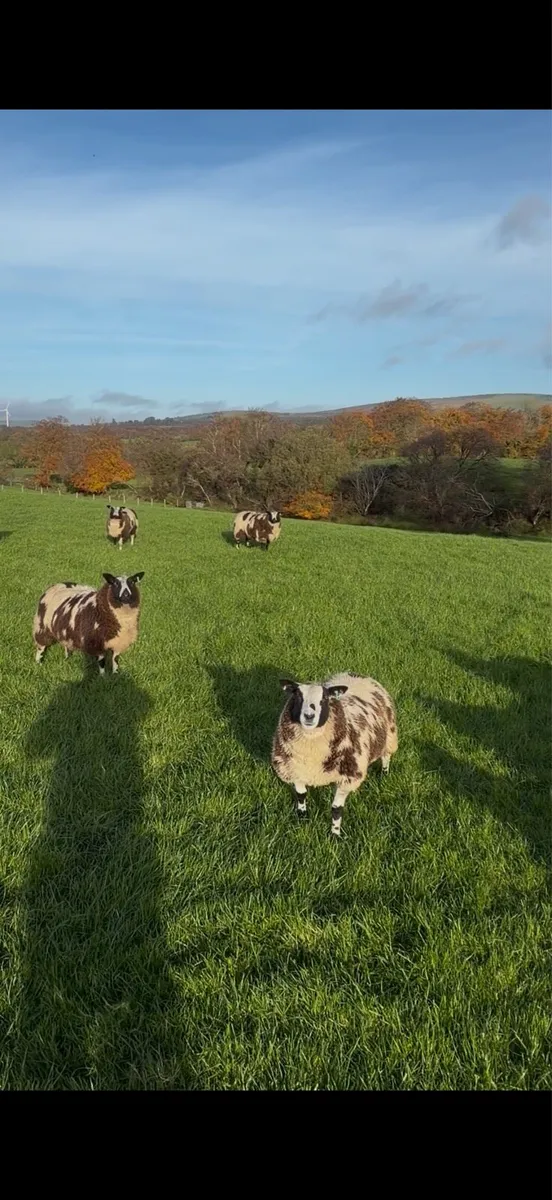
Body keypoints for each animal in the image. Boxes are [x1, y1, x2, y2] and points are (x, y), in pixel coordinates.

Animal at [271, 672, 398, 837]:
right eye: (297, 696)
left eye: (324, 698)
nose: (309, 716)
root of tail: (355, 673)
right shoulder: (295, 769)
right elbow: (301, 795)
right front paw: (302, 817)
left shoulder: (347, 778)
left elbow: (337, 809)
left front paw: (335, 835)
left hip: (389, 736)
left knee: (386, 756)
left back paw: (384, 773)